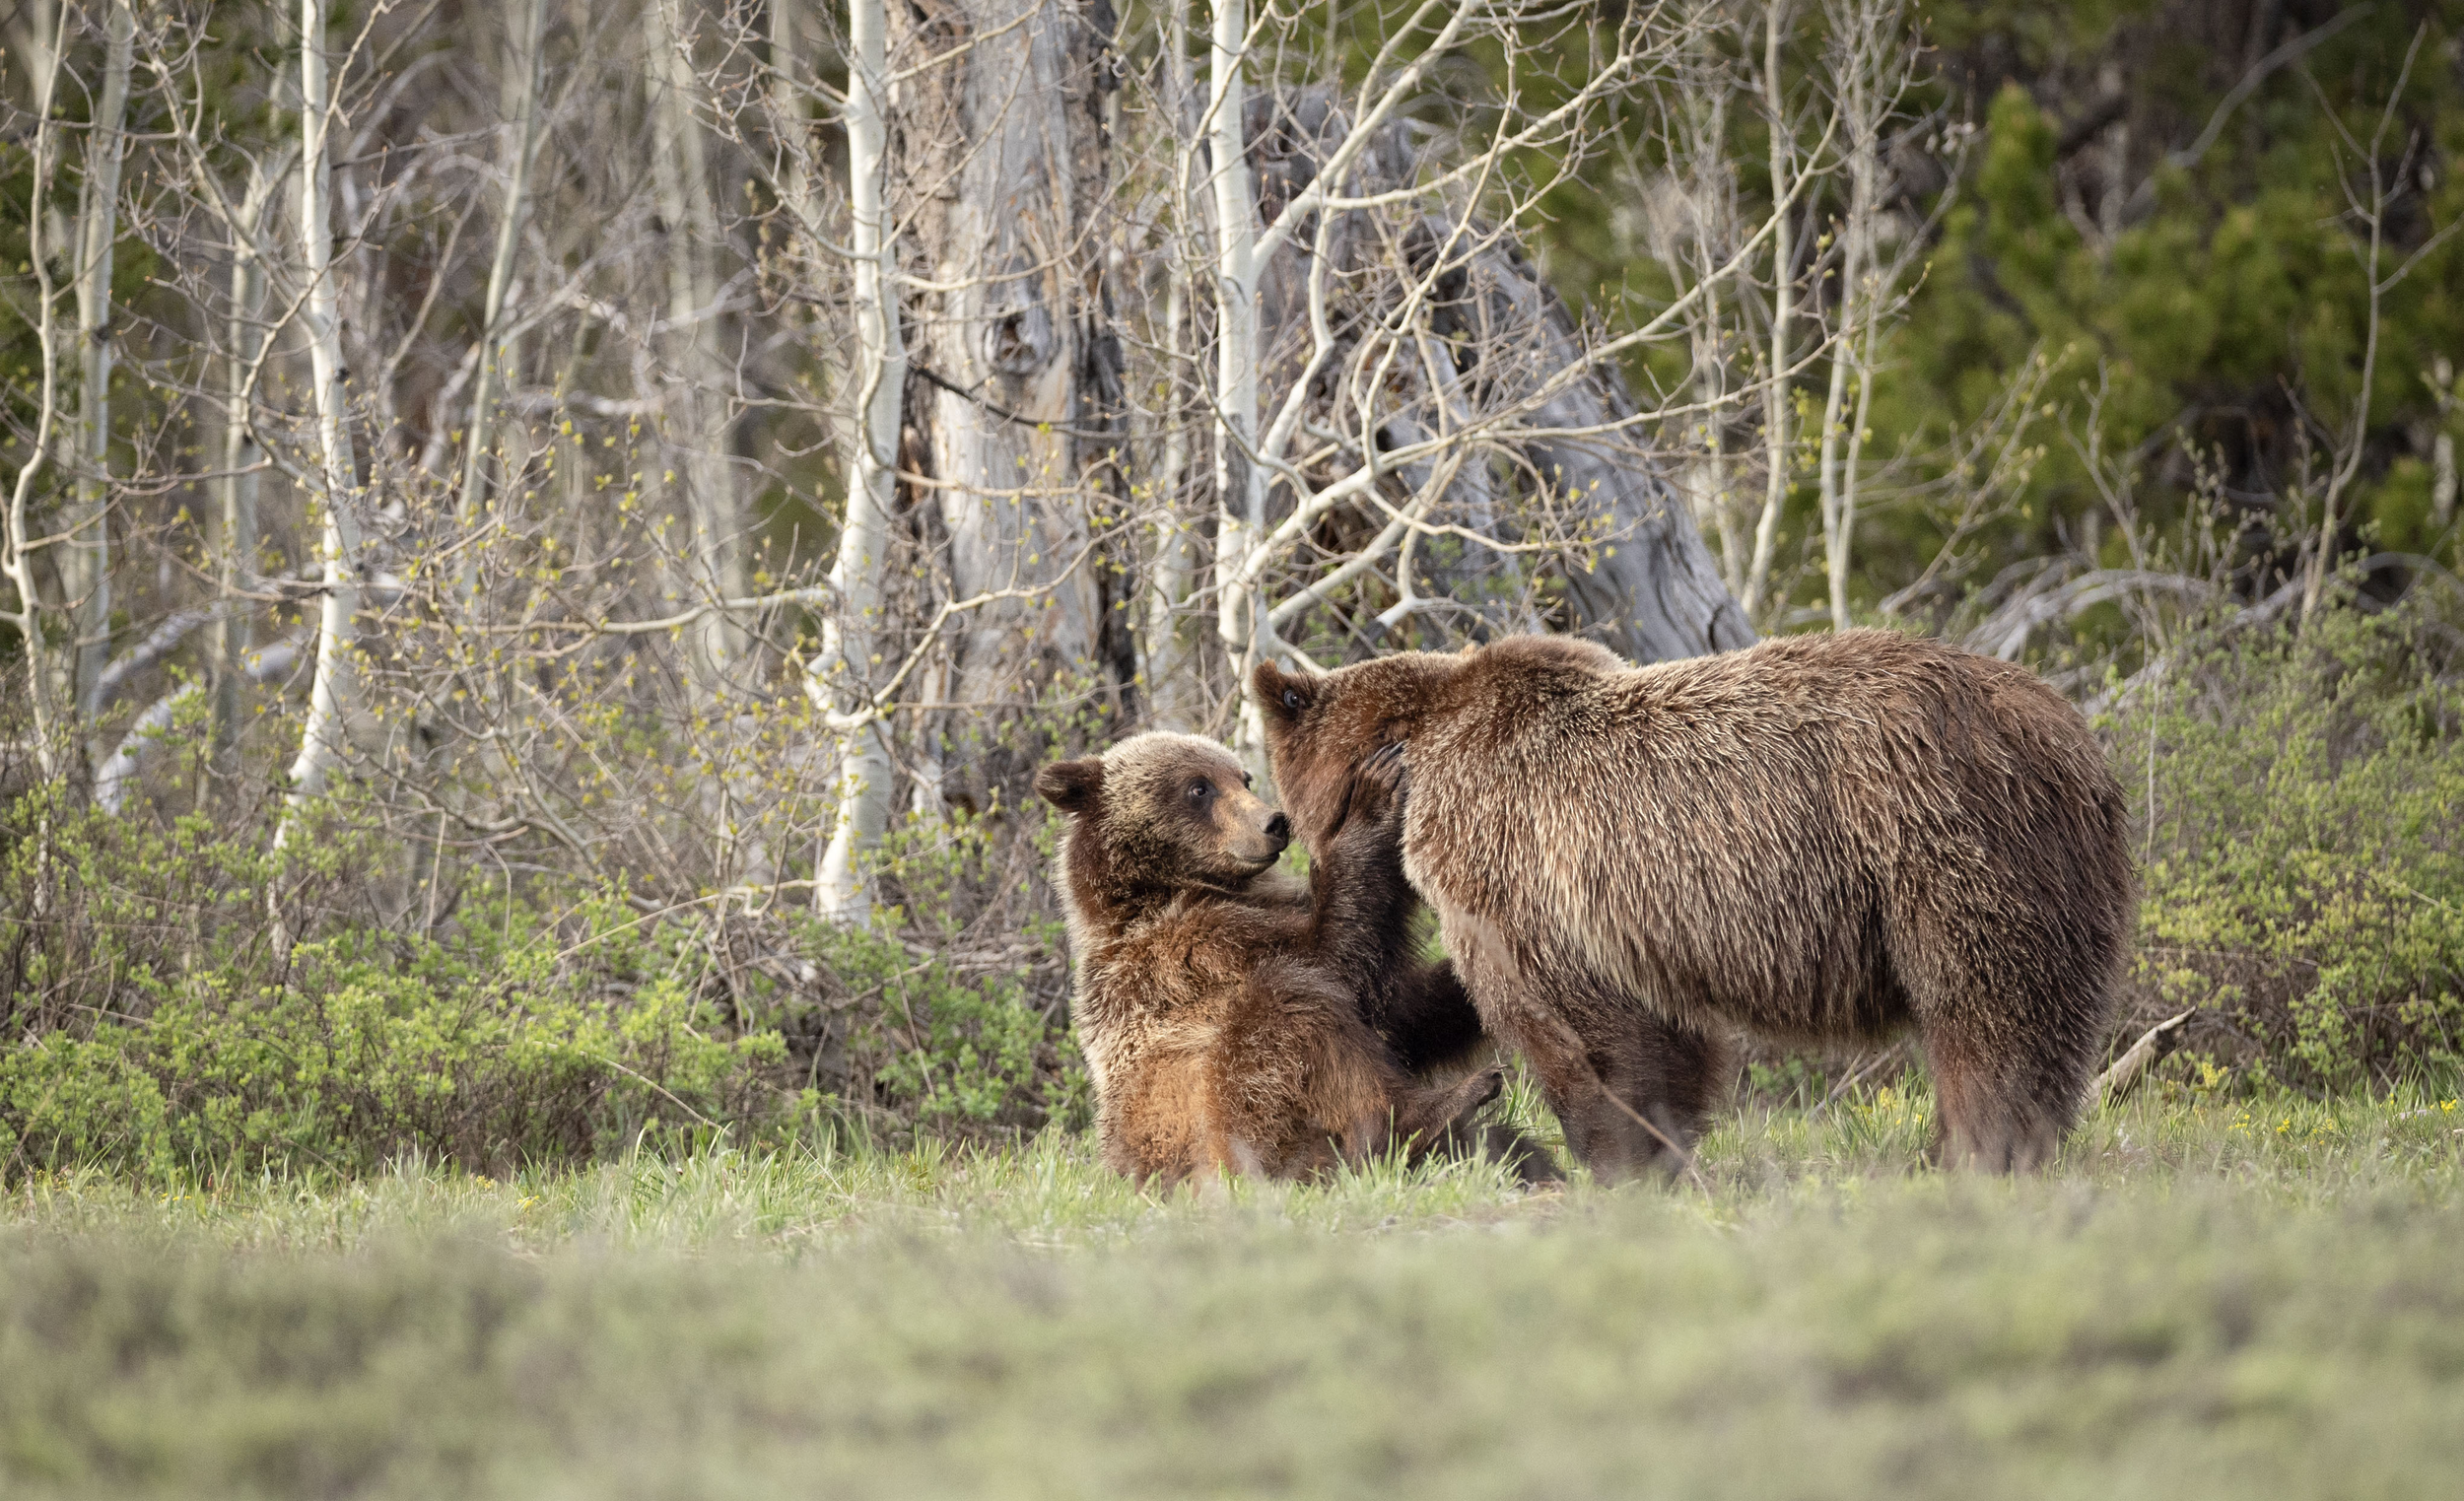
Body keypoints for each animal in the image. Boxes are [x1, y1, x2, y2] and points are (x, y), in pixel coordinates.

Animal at [1035, 730, 1534, 1187]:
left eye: (1243, 777)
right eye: (1199, 787)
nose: (1274, 822)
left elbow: (1405, 1014)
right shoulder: (1194, 952)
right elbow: (1337, 960)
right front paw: (1371, 799)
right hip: (1233, 1122)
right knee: (1290, 1006)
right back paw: (1437, 1108)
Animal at [1255, 628, 2137, 1177]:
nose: (1286, 835)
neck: (1423, 749)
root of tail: (2074, 736)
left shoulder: (1515, 868)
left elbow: (1570, 1022)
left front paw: (1616, 1153)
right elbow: (1661, 1032)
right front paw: (1663, 1147)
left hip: (1943, 845)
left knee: (1985, 1012)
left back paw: (1978, 1150)